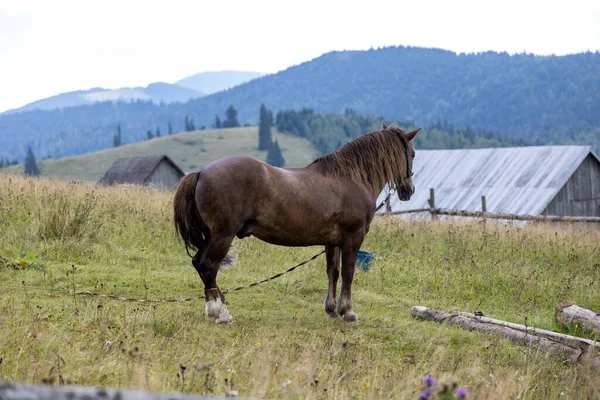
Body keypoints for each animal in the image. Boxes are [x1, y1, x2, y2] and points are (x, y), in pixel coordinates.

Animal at [173, 123, 418, 324]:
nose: (409, 190)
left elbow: (333, 271)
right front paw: (347, 311)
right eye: (413, 153)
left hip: (210, 236)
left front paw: (331, 309)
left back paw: (220, 305)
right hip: (222, 236)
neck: (352, 178)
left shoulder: (332, 242)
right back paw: (219, 313)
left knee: (199, 263)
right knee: (208, 266)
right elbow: (348, 272)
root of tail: (201, 172)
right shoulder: (353, 237)